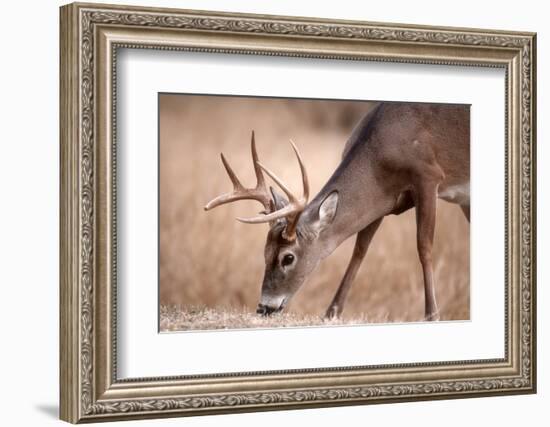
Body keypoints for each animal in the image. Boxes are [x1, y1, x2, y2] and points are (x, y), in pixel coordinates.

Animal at [205, 103, 472, 320]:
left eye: (288, 257)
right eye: (265, 252)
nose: (264, 307)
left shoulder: (428, 176)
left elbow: (424, 246)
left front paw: (432, 314)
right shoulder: (382, 201)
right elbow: (359, 250)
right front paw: (331, 312)